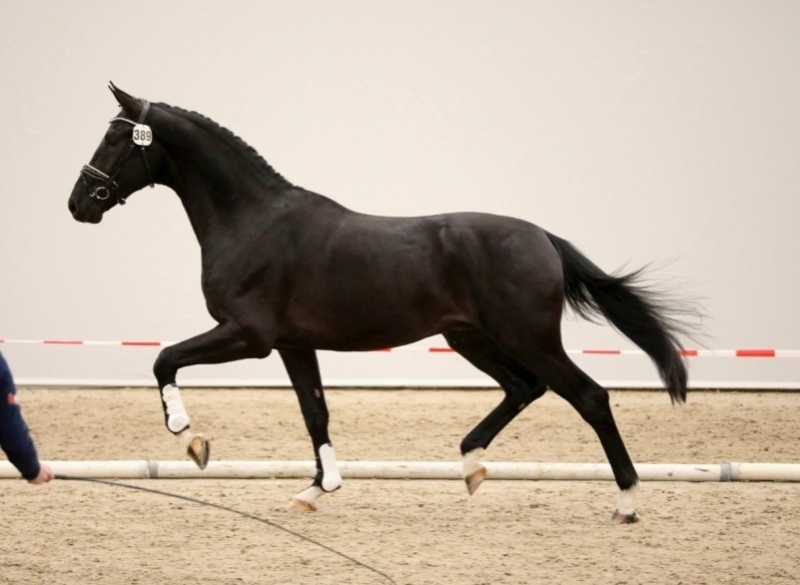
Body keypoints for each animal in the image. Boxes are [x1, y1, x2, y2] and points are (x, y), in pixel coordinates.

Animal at [68, 83, 696, 523]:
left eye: (116, 138)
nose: (78, 204)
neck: (252, 220)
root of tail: (542, 237)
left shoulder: (249, 336)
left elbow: (164, 359)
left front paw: (191, 439)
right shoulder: (293, 345)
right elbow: (315, 412)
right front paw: (316, 490)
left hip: (528, 338)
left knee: (588, 397)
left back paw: (626, 503)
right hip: (471, 337)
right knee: (524, 387)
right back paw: (471, 465)